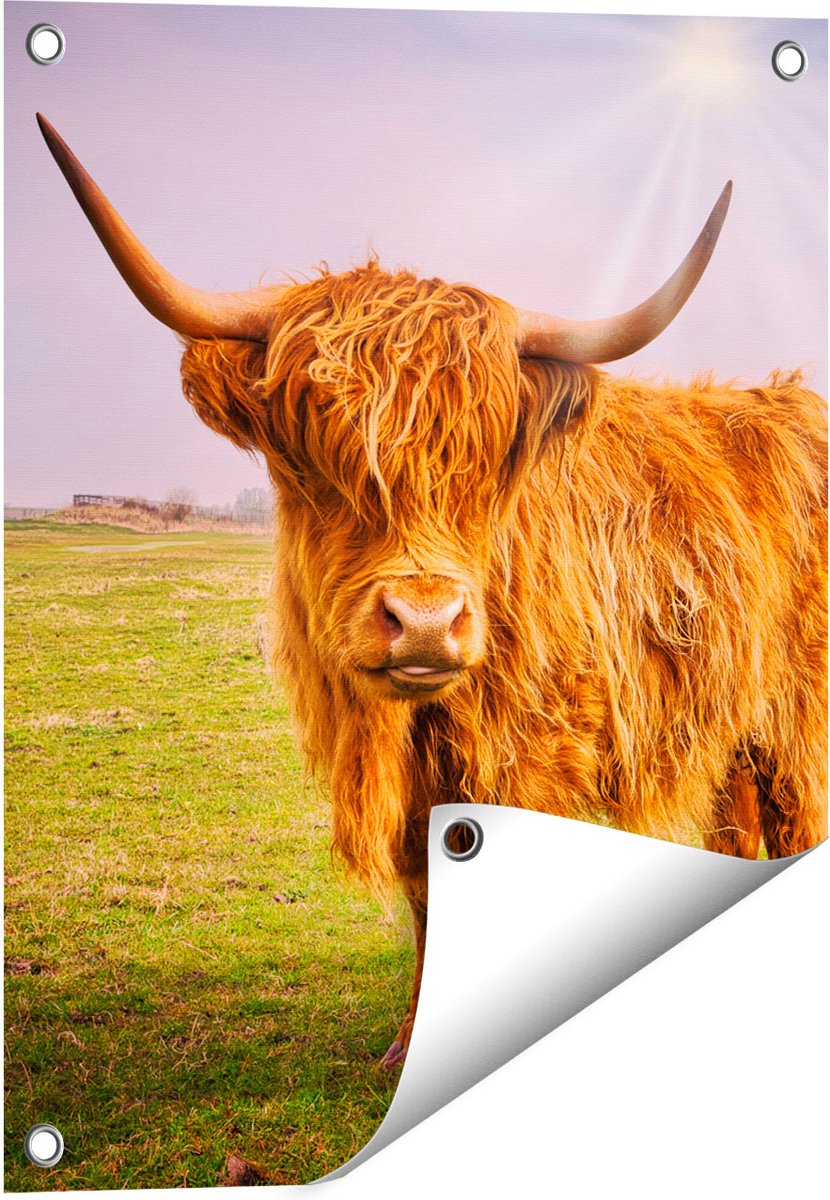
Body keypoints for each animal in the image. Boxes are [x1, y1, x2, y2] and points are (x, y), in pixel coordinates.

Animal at [39, 115, 827, 1069]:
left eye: (487, 464)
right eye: (312, 458)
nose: (424, 623)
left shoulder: (530, 754)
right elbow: (427, 889)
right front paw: (410, 1045)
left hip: (800, 719)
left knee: (797, 819)